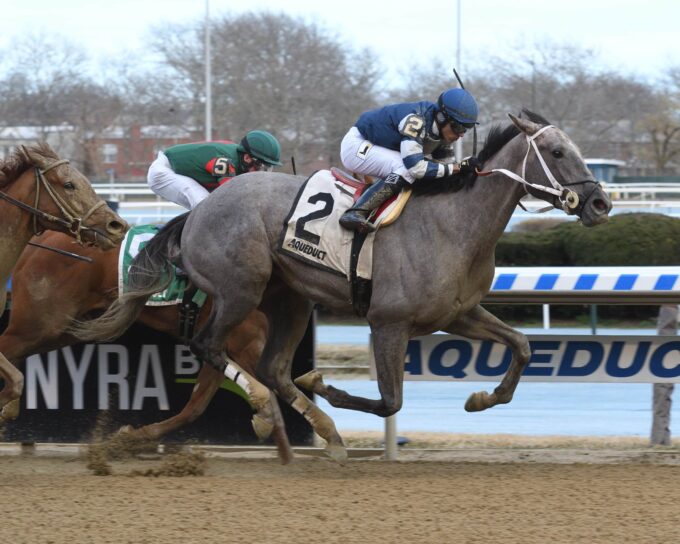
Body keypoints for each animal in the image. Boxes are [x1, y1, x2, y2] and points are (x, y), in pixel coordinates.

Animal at [0, 230, 292, 464]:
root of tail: (42, 238)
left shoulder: (223, 347)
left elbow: (196, 406)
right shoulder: (246, 343)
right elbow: (273, 394)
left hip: (64, 328)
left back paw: (10, 407)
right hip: (39, 323)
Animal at [73, 112, 612, 462]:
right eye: (558, 152)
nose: (601, 203)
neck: (454, 225)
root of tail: (198, 210)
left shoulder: (457, 313)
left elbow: (521, 345)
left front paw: (481, 398)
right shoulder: (389, 322)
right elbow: (390, 401)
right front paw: (324, 384)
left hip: (290, 297)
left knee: (273, 366)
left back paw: (325, 434)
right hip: (239, 291)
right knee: (212, 347)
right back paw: (272, 414)